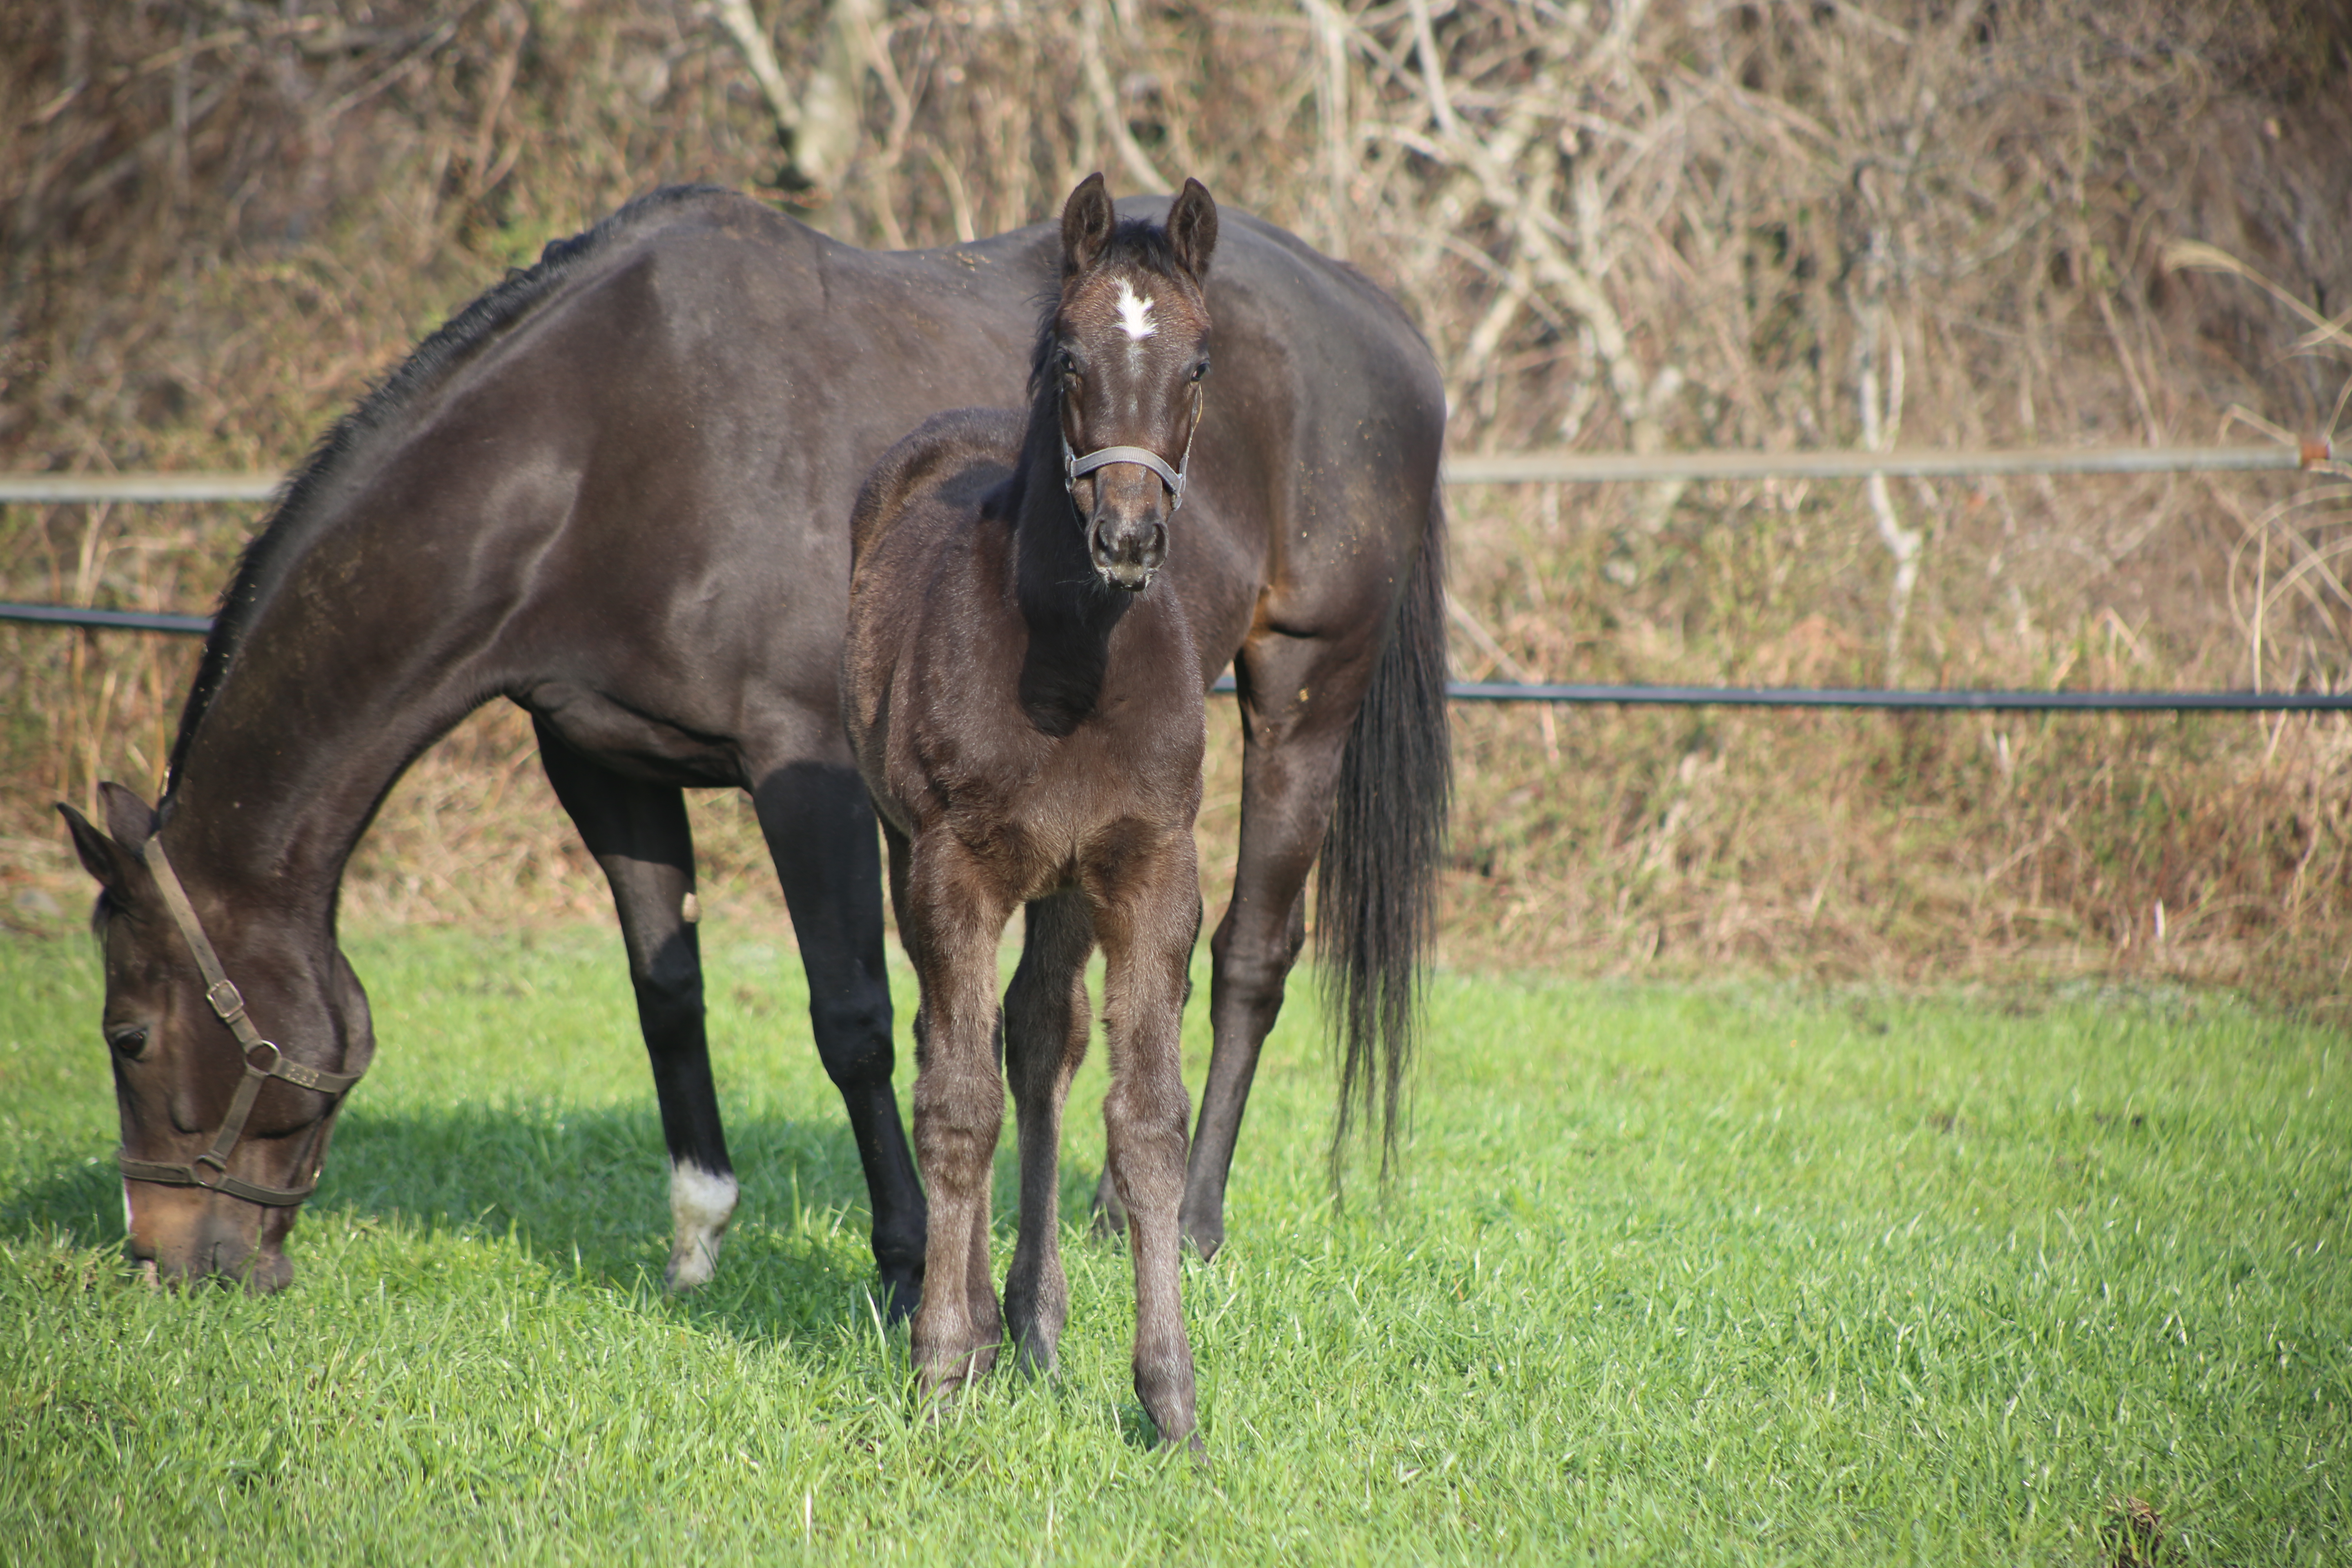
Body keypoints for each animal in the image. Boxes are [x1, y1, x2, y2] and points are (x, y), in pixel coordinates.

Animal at [60, 181, 1449, 1316]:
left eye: (128, 1036)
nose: (167, 1257)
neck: (603, 444)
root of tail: (1385, 320)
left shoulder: (806, 767)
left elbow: (853, 1019)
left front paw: (906, 1263)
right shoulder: (604, 763)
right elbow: (666, 992)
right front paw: (699, 1233)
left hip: (1305, 690)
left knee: (1253, 958)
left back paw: (1188, 1221)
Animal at [842, 172, 1214, 1448]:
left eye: (1198, 363)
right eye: (1066, 357)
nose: (1129, 536)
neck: (1072, 658)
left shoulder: (1150, 869)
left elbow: (1145, 1120)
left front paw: (1171, 1401)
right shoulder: (952, 865)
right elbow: (958, 1109)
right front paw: (939, 1369)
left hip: (1062, 886)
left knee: (1041, 1043)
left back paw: (1034, 1324)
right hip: (912, 853)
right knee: (956, 1054)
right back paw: (973, 1327)